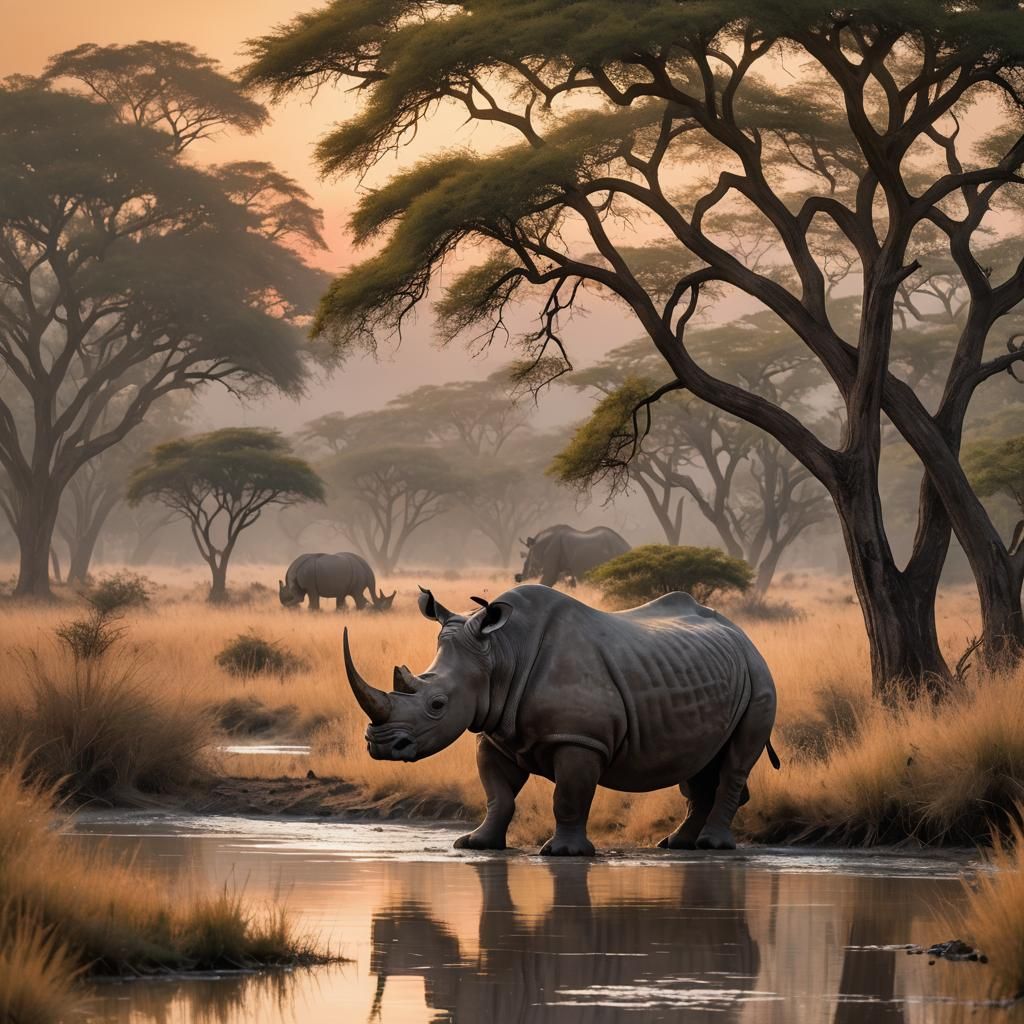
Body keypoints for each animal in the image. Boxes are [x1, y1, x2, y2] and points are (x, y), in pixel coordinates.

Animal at [342, 583, 779, 855]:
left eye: (437, 704)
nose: (380, 746)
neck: (500, 654)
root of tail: (742, 634)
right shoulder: (495, 732)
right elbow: (497, 794)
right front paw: (474, 843)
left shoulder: (579, 739)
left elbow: (569, 795)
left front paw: (563, 853)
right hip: (707, 672)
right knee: (697, 762)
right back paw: (676, 845)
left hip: (759, 676)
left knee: (734, 761)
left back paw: (710, 846)